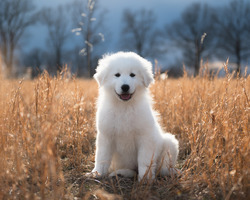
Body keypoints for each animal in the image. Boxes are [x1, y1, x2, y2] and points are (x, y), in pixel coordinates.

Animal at [91, 51, 179, 181]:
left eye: (132, 75)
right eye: (117, 75)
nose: (125, 87)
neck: (124, 107)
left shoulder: (145, 138)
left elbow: (145, 160)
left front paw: (146, 179)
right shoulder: (106, 136)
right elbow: (101, 158)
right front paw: (97, 173)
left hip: (170, 143)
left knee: (163, 168)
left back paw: (172, 172)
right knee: (131, 171)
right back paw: (121, 173)